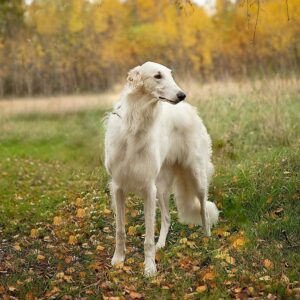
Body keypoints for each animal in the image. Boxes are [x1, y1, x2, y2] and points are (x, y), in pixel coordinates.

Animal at [104, 61, 219, 276]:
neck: (135, 125)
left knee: (203, 210)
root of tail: (190, 110)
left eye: (170, 75)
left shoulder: (148, 189)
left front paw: (149, 268)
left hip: (196, 177)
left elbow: (148, 238)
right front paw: (119, 259)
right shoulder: (118, 187)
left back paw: (207, 238)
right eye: (157, 76)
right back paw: (162, 244)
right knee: (166, 217)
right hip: (162, 187)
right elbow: (120, 230)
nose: (182, 95)